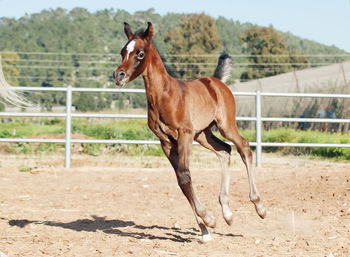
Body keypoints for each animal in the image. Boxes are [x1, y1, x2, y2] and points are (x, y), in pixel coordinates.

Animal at [113, 21, 266, 240]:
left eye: (140, 53)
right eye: (122, 51)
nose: (118, 75)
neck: (164, 96)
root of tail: (217, 81)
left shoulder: (183, 134)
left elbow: (185, 174)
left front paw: (208, 219)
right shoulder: (166, 142)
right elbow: (181, 180)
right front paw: (205, 229)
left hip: (225, 125)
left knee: (244, 147)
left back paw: (259, 206)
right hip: (203, 135)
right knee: (224, 151)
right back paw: (227, 213)